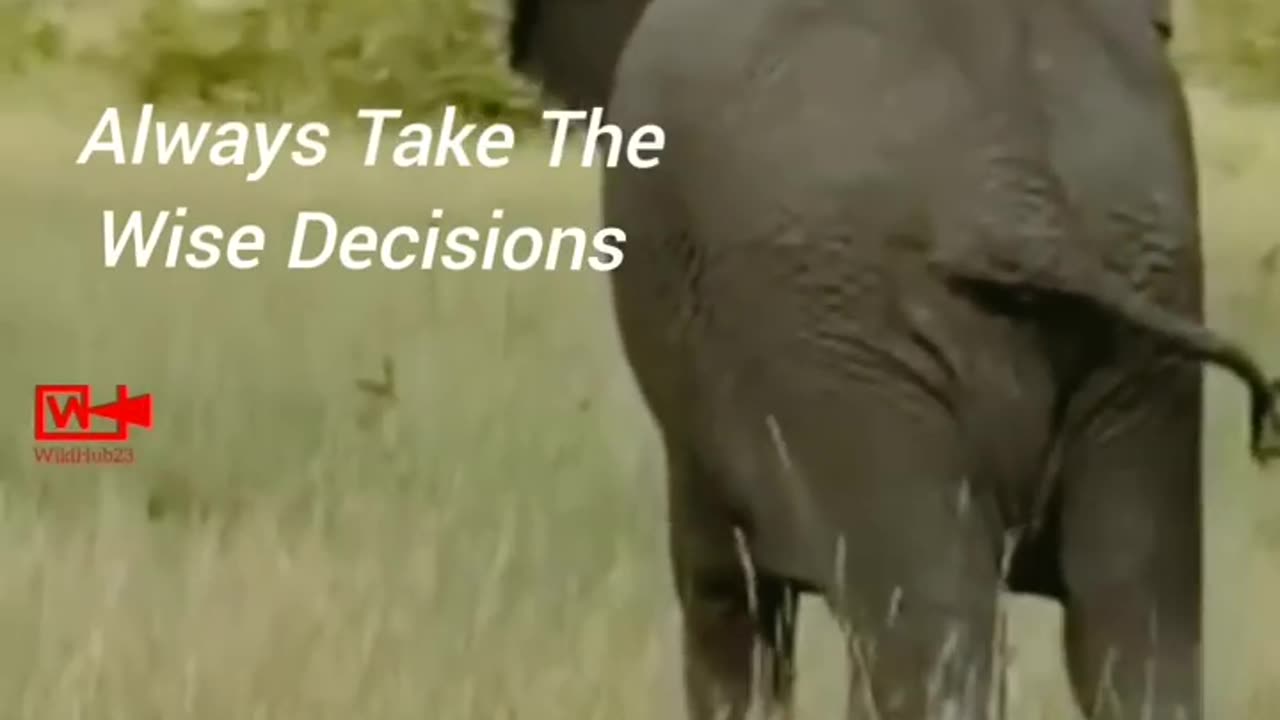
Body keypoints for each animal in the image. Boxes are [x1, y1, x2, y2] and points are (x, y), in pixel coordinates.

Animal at [504, 0, 1274, 712]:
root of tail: (1022, 200)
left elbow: (724, 589)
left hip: (839, 332)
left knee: (920, 626)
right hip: (1143, 299)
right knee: (1137, 619)